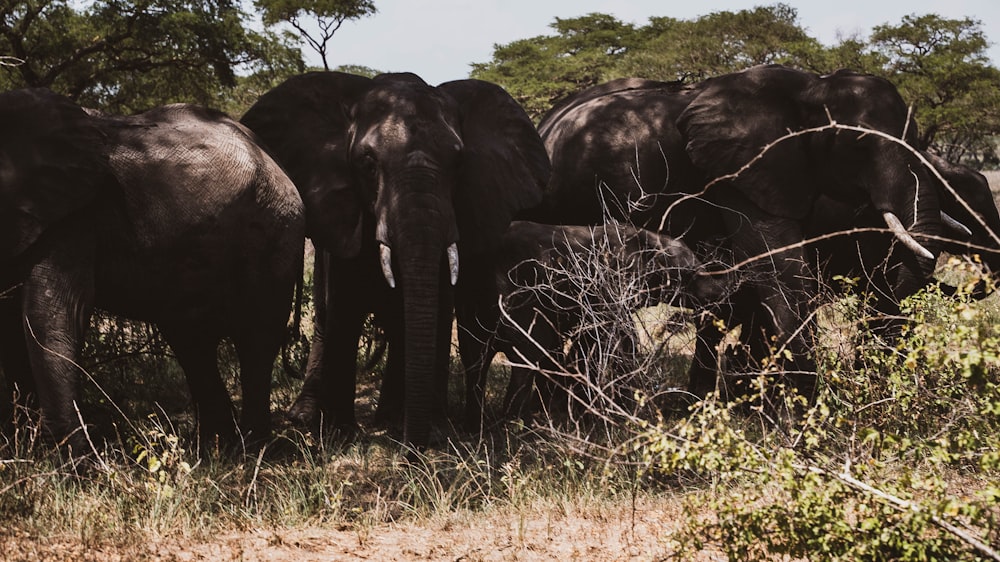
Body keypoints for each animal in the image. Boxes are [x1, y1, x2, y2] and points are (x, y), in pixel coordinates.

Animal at [0, 88, 304, 450]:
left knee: (254, 340)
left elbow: (51, 312)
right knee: (192, 343)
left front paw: (74, 459)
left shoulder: (73, 213)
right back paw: (215, 449)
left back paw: (251, 449)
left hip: (274, 232)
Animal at [243, 71, 556, 446]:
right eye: (367, 164)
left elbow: (437, 309)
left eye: (459, 163)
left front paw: (433, 429)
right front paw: (340, 433)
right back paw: (306, 416)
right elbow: (344, 311)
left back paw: (389, 417)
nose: (412, 449)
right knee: (324, 318)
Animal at [458, 219, 732, 424]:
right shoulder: (606, 285)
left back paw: (478, 425)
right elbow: (617, 335)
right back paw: (515, 425)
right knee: (528, 355)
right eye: (690, 273)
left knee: (475, 359)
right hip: (516, 295)